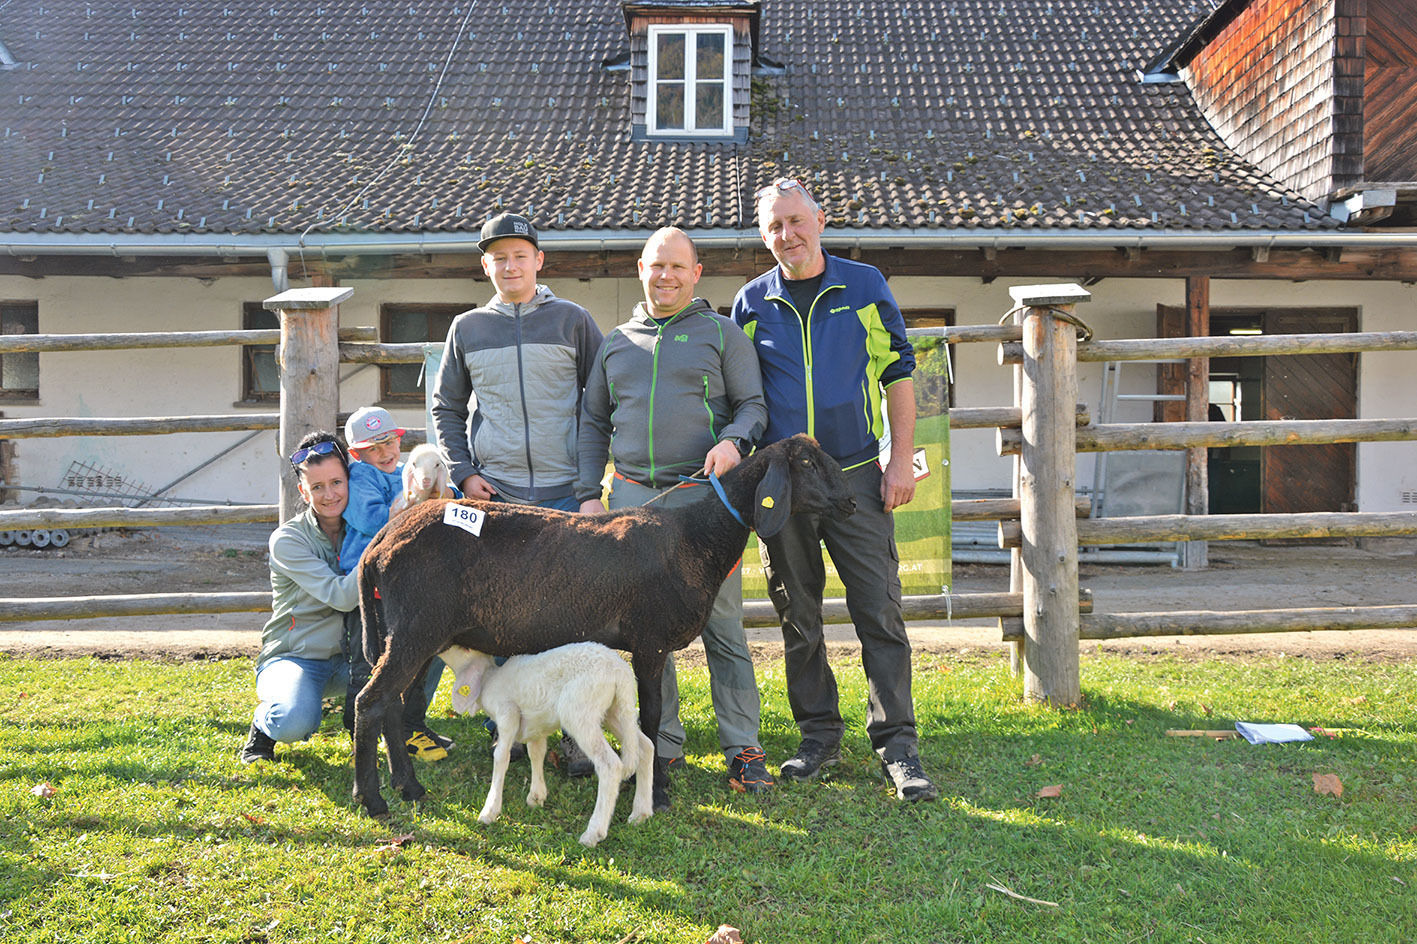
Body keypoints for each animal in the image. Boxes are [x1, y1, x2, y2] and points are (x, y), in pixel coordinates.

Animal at [439, 640, 654, 844]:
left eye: (465, 648)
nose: (443, 648)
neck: (489, 678)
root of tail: (620, 673)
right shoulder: (535, 725)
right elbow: (536, 752)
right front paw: (536, 796)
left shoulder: (508, 714)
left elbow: (501, 756)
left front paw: (489, 810)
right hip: (615, 711)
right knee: (645, 746)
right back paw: (640, 813)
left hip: (580, 712)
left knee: (609, 765)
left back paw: (594, 833)